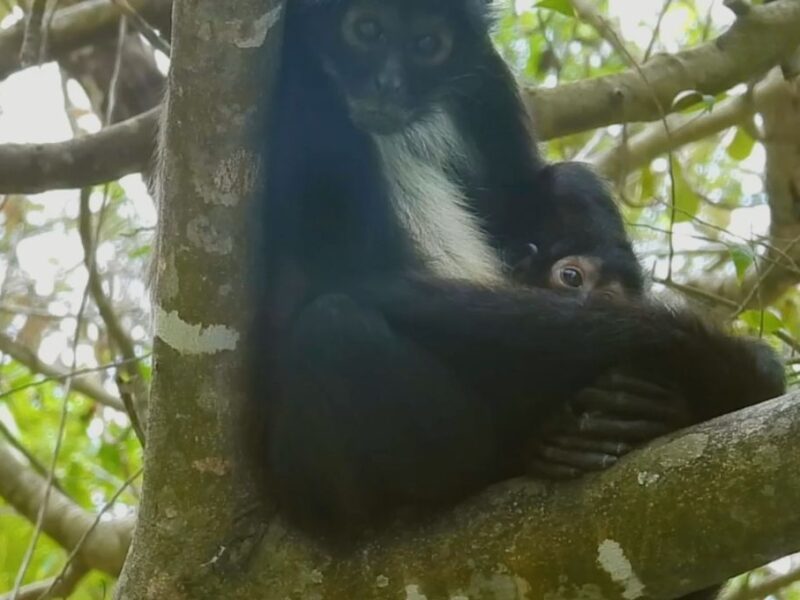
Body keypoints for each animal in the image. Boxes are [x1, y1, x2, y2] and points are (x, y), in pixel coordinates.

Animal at [248, 0, 785, 544]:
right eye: (365, 29)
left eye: (427, 44)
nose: (388, 84)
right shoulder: (304, 87)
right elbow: (345, 281)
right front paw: (730, 373)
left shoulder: (485, 73)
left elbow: (528, 188)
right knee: (334, 328)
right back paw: (532, 443)